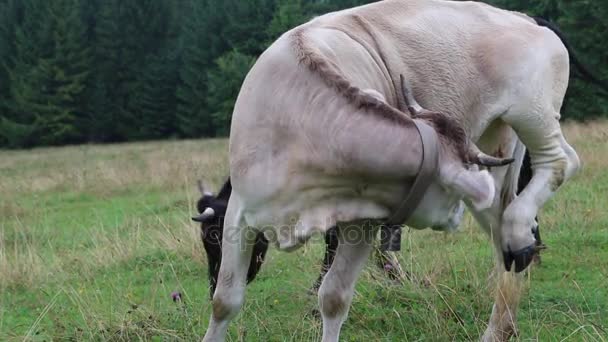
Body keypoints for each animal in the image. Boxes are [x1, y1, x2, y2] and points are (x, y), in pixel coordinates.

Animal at [203, 1, 580, 340]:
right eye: (211, 238)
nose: (455, 216)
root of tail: (521, 17)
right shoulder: (240, 211)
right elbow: (225, 301)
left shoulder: (363, 221)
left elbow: (334, 297)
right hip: (497, 145)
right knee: (501, 232)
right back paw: (501, 322)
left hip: (531, 111)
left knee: (563, 161)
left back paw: (520, 230)